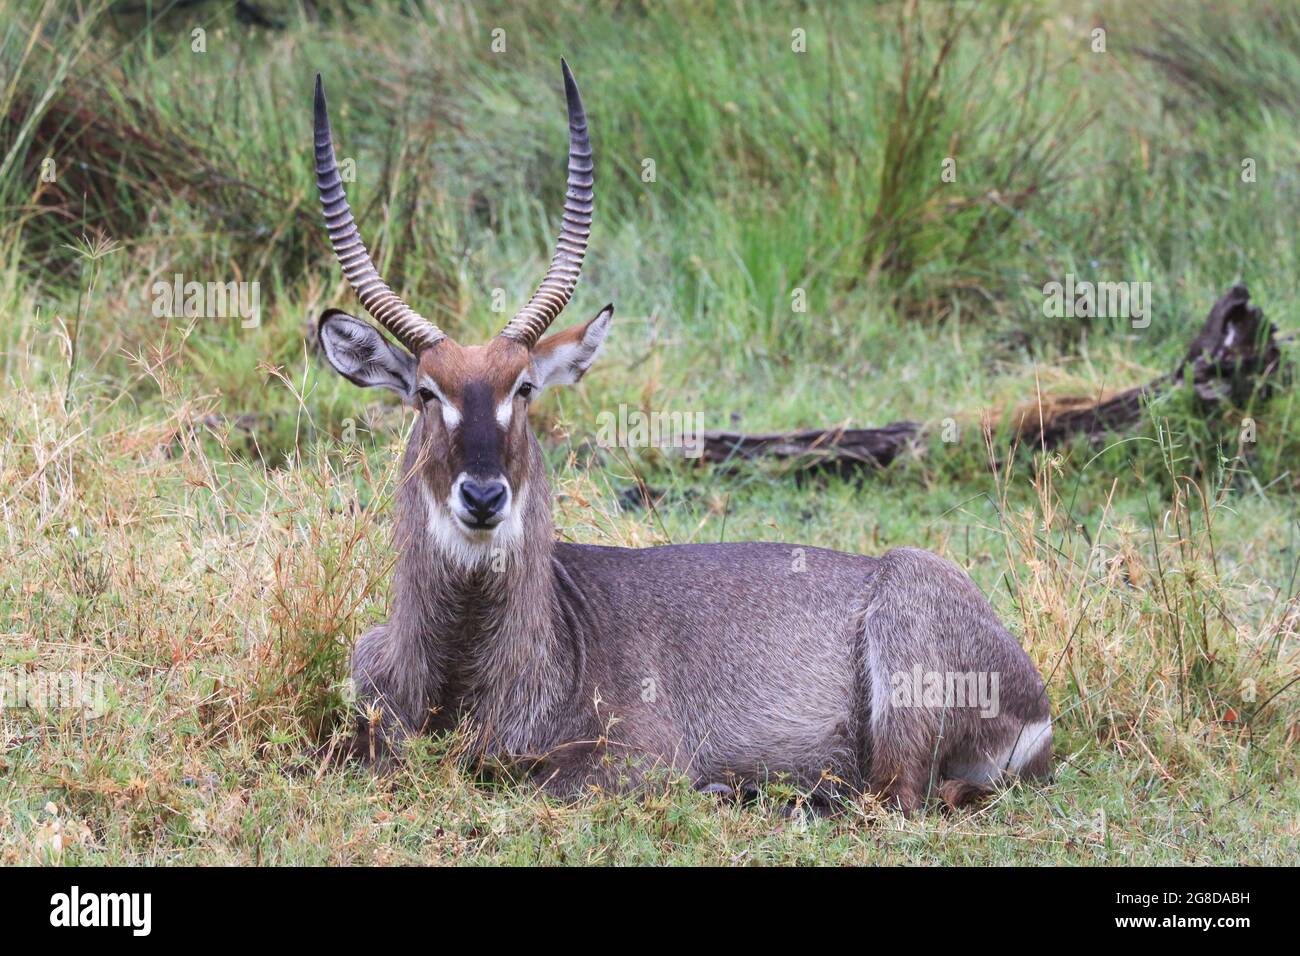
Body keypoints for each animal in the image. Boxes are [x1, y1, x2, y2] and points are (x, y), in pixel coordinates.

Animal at [314, 59, 1055, 811]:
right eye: (425, 393)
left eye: (522, 388)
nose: (484, 497)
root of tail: (1037, 701)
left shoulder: (638, 758)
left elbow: (541, 778)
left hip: (909, 618)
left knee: (893, 797)